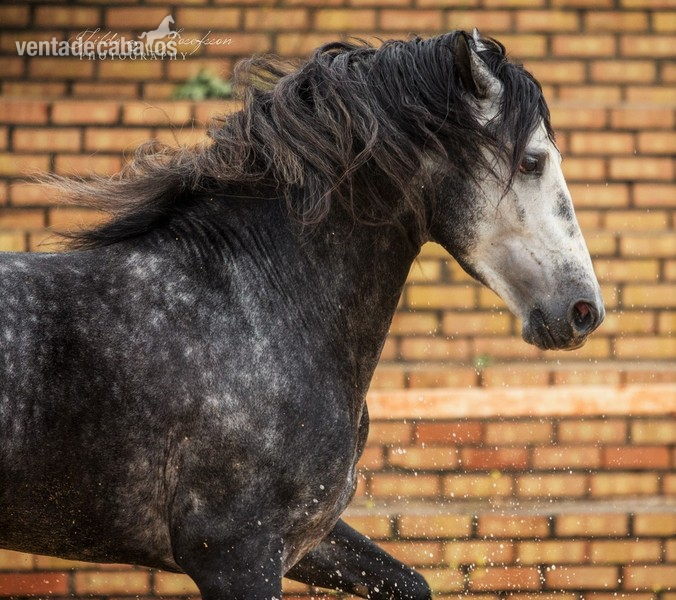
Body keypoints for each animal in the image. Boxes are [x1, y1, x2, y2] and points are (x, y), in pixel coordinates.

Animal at [0, 31, 604, 599]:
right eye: (531, 161)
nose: (584, 312)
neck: (255, 299)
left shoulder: (307, 537)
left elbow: (410, 582)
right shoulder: (235, 554)